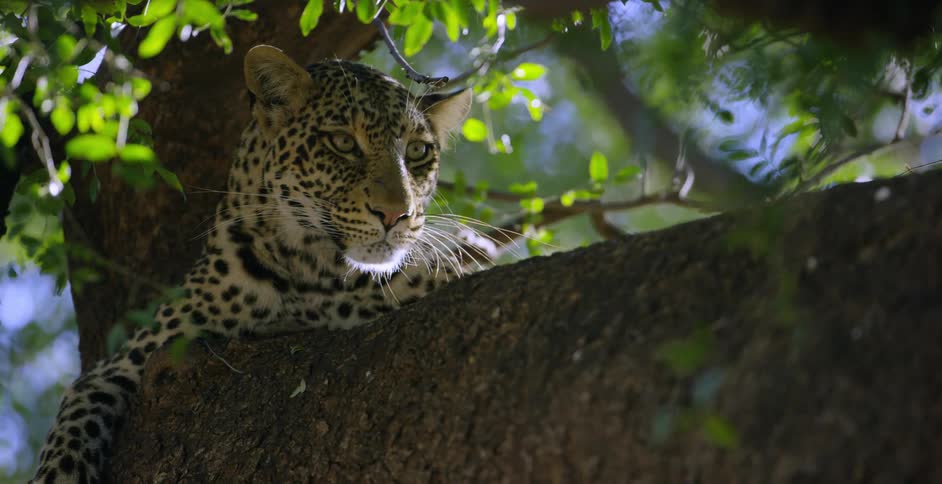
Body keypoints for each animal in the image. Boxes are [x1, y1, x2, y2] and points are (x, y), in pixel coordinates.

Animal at [30, 44, 473, 483]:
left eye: (417, 152)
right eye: (342, 142)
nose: (396, 214)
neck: (315, 272)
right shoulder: (125, 361)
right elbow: (69, 431)